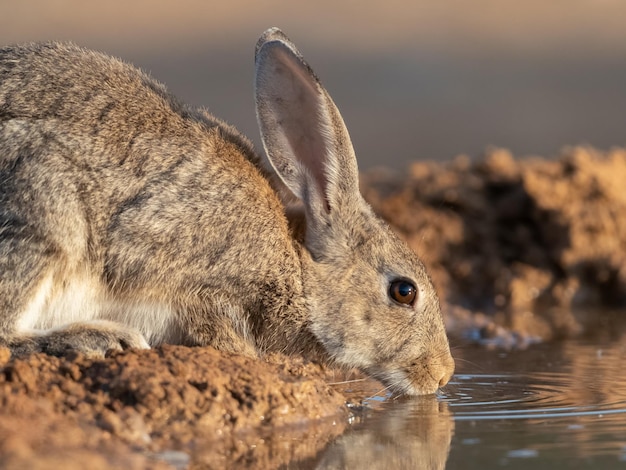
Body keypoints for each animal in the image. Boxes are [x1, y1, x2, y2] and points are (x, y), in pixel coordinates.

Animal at [0, 27, 450, 394]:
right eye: (403, 291)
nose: (443, 374)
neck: (296, 269)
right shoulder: (203, 289)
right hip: (45, 210)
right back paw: (101, 339)